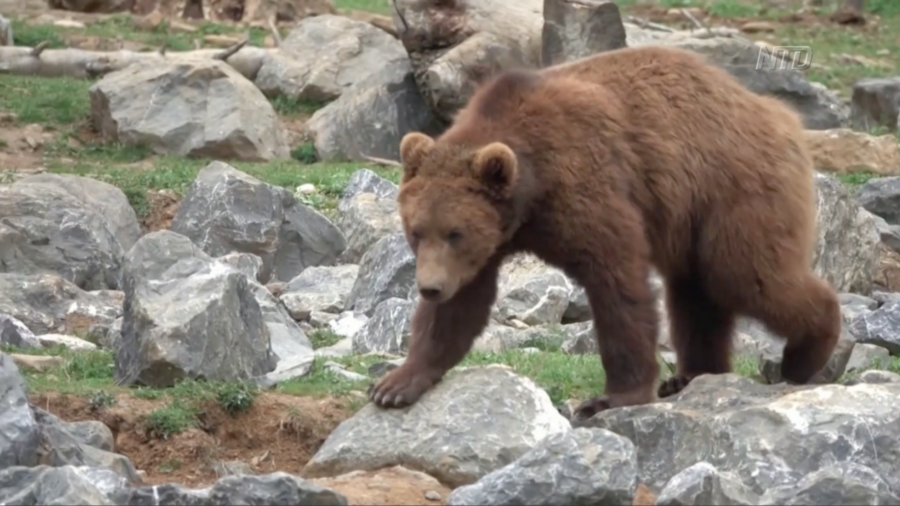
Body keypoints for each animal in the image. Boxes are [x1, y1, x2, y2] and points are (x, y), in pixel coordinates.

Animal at [366, 44, 841, 420]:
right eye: (416, 231)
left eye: (455, 232)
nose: (428, 287)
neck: (530, 191)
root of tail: (777, 112)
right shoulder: (489, 242)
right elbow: (461, 306)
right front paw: (396, 384)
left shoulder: (586, 185)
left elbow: (617, 282)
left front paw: (612, 397)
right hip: (692, 218)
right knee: (696, 292)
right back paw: (693, 375)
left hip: (733, 189)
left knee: (744, 274)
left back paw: (805, 353)